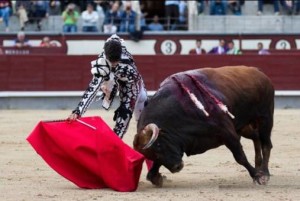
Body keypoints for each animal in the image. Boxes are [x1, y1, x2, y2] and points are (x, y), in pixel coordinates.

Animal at [134, 65, 274, 187]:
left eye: (159, 145)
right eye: (151, 154)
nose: (177, 167)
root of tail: (259, 72)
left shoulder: (228, 133)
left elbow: (240, 157)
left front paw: (257, 176)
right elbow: (154, 168)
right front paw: (156, 177)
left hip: (265, 118)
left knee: (266, 144)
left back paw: (265, 173)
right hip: (244, 126)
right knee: (256, 137)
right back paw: (259, 166)